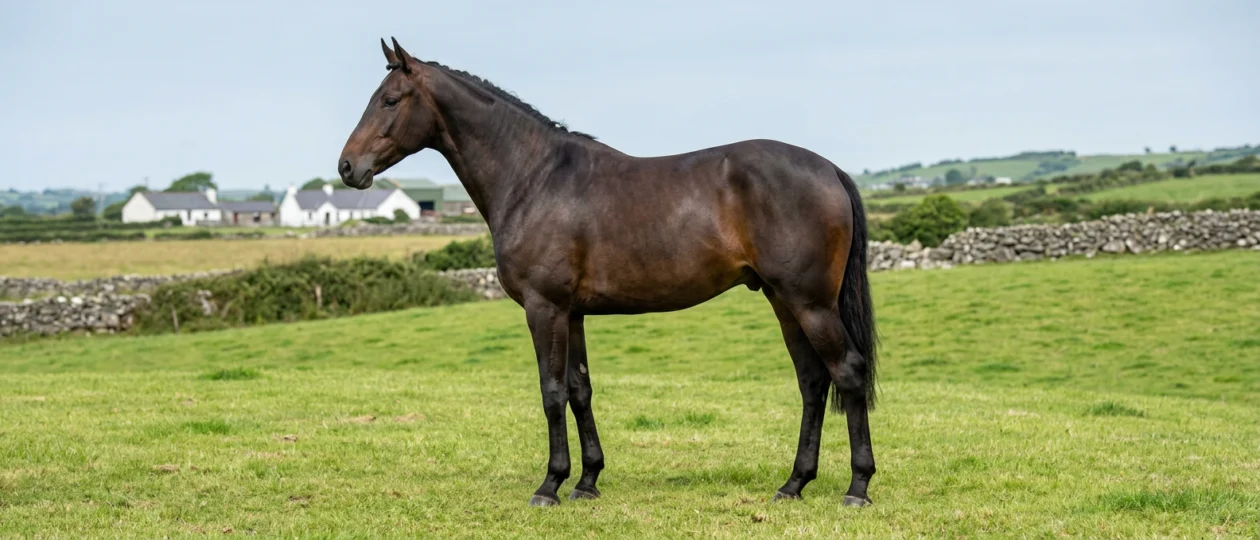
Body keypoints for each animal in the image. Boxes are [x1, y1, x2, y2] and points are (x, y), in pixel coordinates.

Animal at [339, 38, 879, 508]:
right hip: (782, 300)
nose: (347, 167)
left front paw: (550, 485)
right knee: (813, 381)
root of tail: (830, 169)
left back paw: (857, 487)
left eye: (389, 100)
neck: (535, 178)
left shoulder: (544, 308)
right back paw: (794, 484)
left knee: (847, 372)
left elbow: (552, 392)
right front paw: (587, 481)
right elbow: (580, 391)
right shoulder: (572, 313)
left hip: (810, 303)